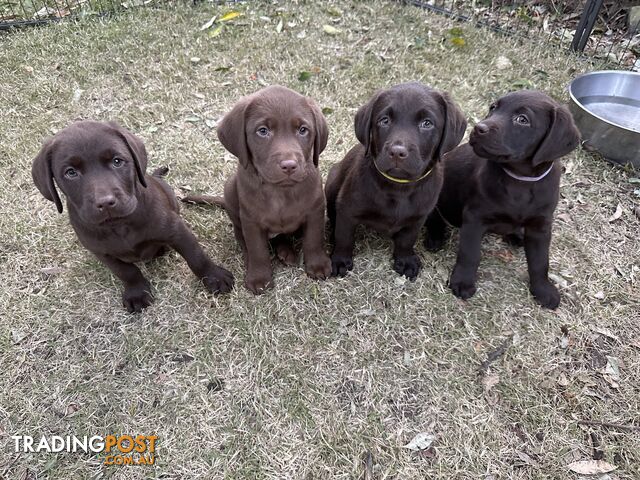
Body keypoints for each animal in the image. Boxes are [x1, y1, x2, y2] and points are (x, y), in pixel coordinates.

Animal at [31, 121, 232, 312]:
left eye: (117, 161)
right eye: (71, 172)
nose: (105, 202)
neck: (119, 226)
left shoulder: (176, 230)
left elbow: (196, 256)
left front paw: (215, 277)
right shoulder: (102, 252)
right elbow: (126, 271)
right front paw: (137, 292)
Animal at [182, 86, 330, 296]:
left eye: (303, 130)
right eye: (263, 131)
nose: (289, 165)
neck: (279, 191)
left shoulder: (315, 210)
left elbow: (314, 239)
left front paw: (318, 265)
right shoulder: (251, 220)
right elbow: (257, 249)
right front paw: (259, 278)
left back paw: (286, 252)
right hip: (230, 189)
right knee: (240, 235)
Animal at [324, 81, 464, 280]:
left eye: (427, 123)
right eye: (384, 120)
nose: (397, 152)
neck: (399, 187)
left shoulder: (418, 217)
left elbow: (407, 240)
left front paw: (405, 260)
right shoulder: (347, 208)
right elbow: (344, 236)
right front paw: (340, 260)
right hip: (333, 180)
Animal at [424, 90, 580, 308]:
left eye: (522, 119)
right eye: (493, 108)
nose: (478, 128)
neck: (520, 180)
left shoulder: (541, 226)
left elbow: (541, 261)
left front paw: (543, 289)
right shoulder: (474, 218)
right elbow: (470, 253)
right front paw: (463, 282)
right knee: (435, 218)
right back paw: (436, 237)